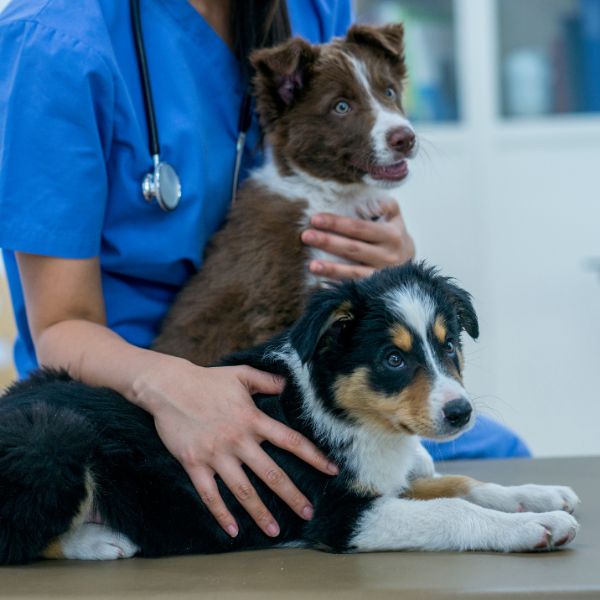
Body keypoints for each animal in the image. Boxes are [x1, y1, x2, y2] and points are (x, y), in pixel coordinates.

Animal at [0, 262, 580, 564]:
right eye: (393, 360)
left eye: (450, 346)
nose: (460, 413)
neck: (349, 414)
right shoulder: (338, 517)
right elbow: (449, 510)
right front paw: (536, 527)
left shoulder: (382, 481)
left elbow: (461, 483)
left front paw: (543, 496)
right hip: (52, 437)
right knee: (19, 539)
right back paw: (99, 540)